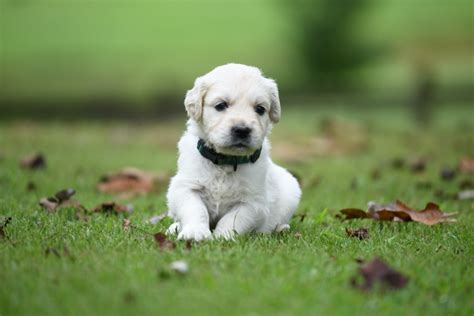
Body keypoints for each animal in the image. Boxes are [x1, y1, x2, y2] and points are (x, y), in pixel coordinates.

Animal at [167, 63, 300, 239]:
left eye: (260, 109)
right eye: (221, 105)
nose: (242, 130)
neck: (226, 161)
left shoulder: (253, 202)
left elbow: (233, 219)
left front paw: (222, 237)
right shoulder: (186, 187)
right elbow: (196, 209)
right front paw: (195, 232)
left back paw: (280, 229)